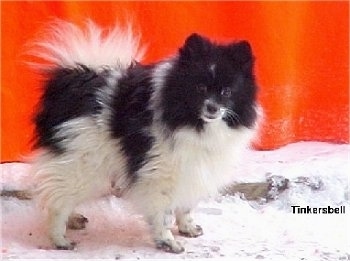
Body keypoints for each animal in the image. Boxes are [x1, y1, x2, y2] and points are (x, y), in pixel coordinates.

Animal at [29, 20, 260, 252]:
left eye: (226, 92)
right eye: (200, 88)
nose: (212, 108)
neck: (192, 122)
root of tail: (72, 83)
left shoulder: (191, 170)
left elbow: (186, 206)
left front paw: (187, 227)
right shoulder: (161, 173)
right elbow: (163, 213)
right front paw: (167, 241)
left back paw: (73, 219)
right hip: (83, 162)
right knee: (57, 200)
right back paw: (59, 238)